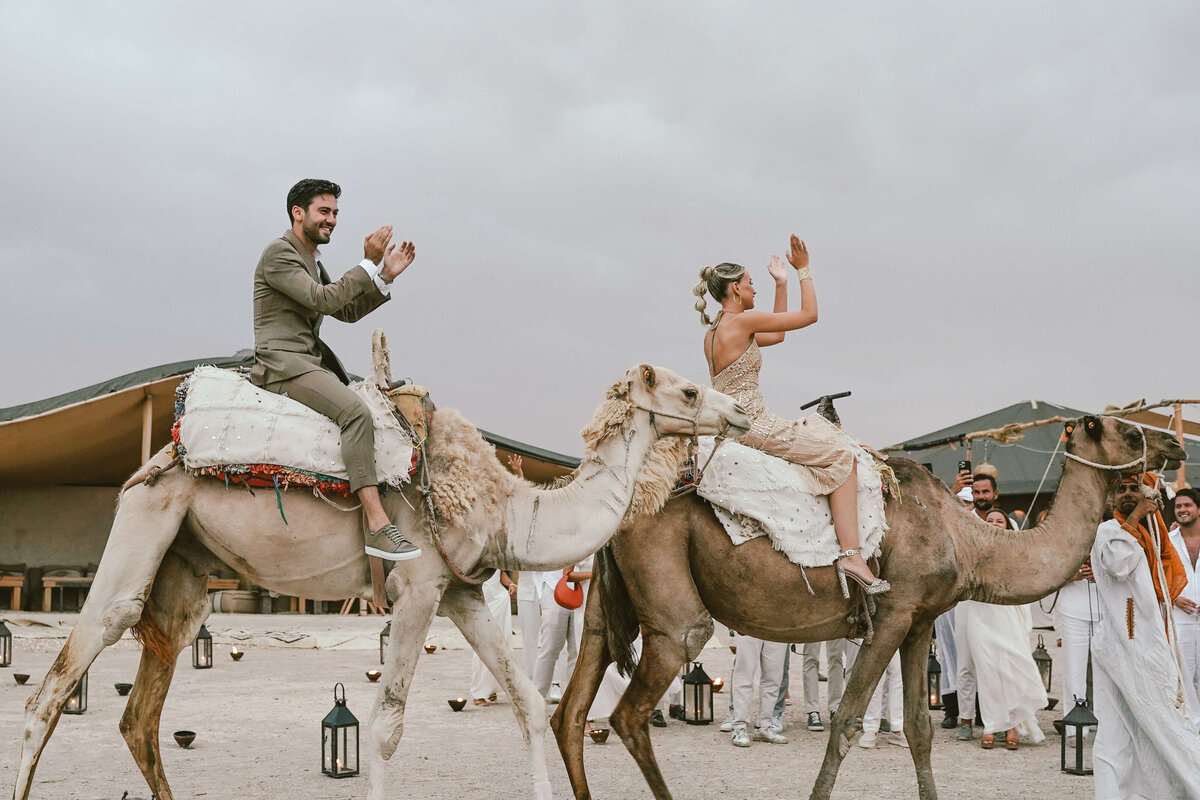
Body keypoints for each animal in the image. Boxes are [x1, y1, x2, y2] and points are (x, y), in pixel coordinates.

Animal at [11, 364, 748, 800]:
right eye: (687, 390)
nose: (738, 412)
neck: (504, 503)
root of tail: (163, 447)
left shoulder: (463, 591)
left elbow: (528, 704)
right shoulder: (418, 588)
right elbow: (387, 725)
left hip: (184, 571)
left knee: (143, 711)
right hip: (143, 529)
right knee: (52, 689)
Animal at [554, 417, 1190, 796]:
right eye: (1122, 429)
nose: (1176, 443)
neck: (969, 539)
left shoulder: (921, 621)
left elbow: (919, 729)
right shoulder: (893, 613)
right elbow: (844, 721)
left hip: (603, 605)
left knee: (572, 709)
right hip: (672, 609)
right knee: (632, 708)